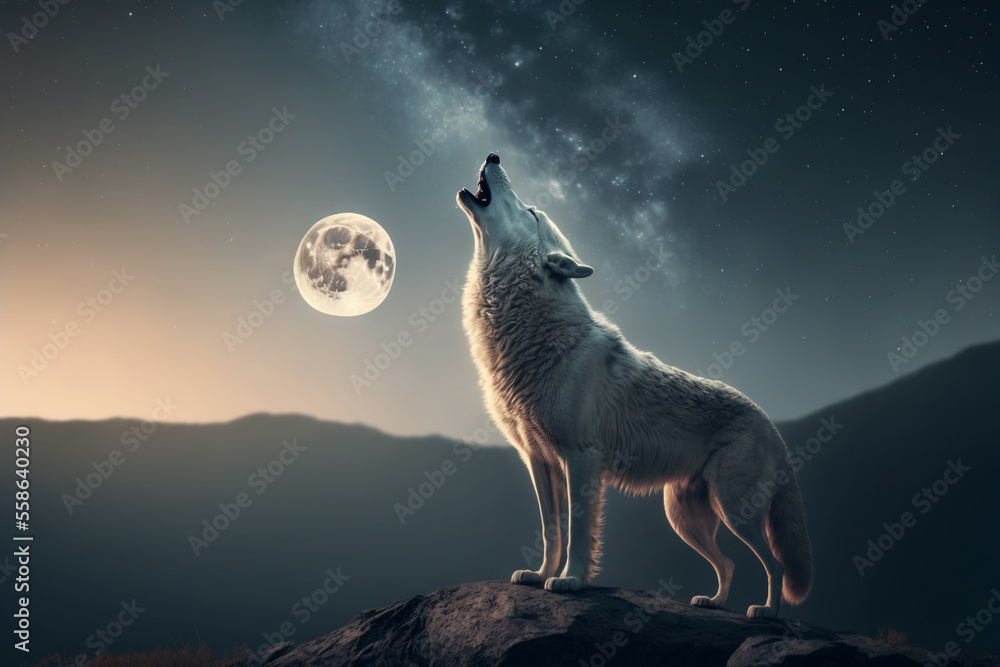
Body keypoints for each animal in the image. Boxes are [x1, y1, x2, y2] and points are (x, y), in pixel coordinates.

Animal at [456, 153, 812, 619]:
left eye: (531, 211)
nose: (494, 156)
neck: (528, 331)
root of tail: (769, 422)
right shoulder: (538, 460)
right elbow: (552, 530)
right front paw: (540, 574)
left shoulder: (581, 458)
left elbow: (579, 529)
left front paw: (571, 580)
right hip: (683, 517)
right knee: (730, 563)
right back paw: (713, 603)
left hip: (736, 512)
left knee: (775, 564)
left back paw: (766, 612)